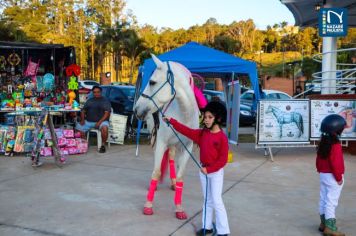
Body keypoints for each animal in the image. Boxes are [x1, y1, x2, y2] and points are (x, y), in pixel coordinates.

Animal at [134, 54, 200, 218]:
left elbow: (181, 176)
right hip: (156, 138)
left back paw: (173, 182)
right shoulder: (161, 142)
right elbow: (156, 172)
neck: (184, 114)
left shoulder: (187, 147)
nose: (136, 109)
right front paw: (148, 206)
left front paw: (179, 208)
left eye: (152, 82)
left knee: (170, 157)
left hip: (174, 145)